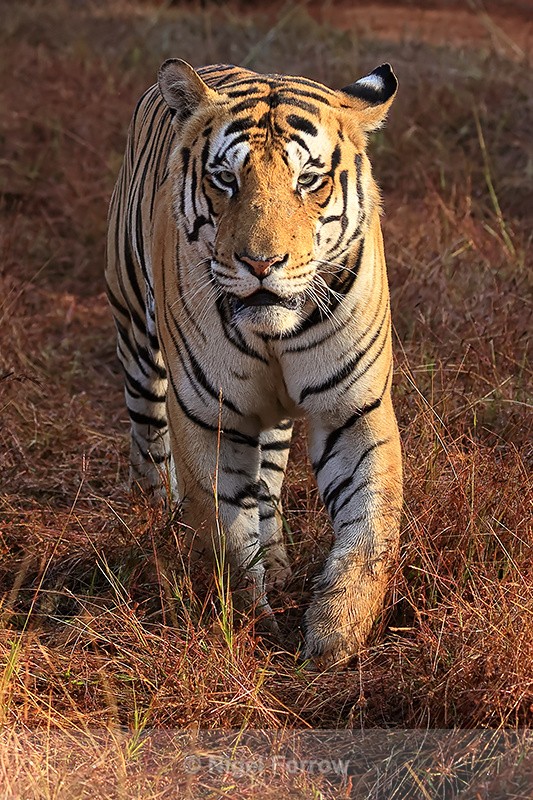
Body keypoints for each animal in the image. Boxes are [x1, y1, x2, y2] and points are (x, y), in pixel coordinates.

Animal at [105, 59, 403, 667]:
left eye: (308, 180)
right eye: (226, 179)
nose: (262, 263)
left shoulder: (355, 411)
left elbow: (370, 525)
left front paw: (336, 635)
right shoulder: (211, 415)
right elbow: (225, 529)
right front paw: (250, 623)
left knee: (267, 483)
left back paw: (282, 562)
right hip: (135, 334)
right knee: (149, 440)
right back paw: (155, 520)